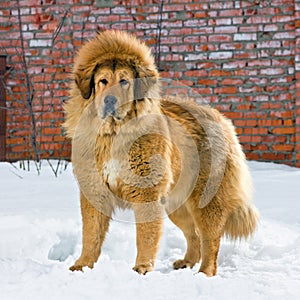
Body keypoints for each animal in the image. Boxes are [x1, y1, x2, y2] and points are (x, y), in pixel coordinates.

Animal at [62, 30, 258, 276]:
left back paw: (204, 273)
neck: (115, 134)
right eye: (103, 81)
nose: (109, 100)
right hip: (177, 205)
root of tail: (219, 118)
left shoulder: (147, 193)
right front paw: (83, 266)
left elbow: (145, 235)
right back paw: (186, 262)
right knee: (193, 234)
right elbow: (91, 234)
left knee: (210, 240)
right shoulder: (94, 190)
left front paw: (142, 267)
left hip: (206, 201)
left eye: (124, 81)